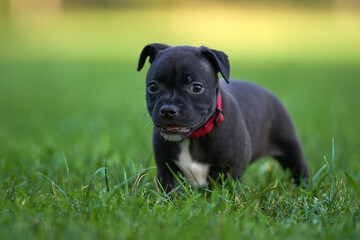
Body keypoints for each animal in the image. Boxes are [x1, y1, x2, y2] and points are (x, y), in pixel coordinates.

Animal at [138, 43, 310, 193]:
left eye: (196, 88)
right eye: (153, 87)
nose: (168, 110)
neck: (192, 138)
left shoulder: (232, 169)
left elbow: (227, 191)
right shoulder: (165, 168)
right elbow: (168, 190)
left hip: (290, 147)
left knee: (299, 168)